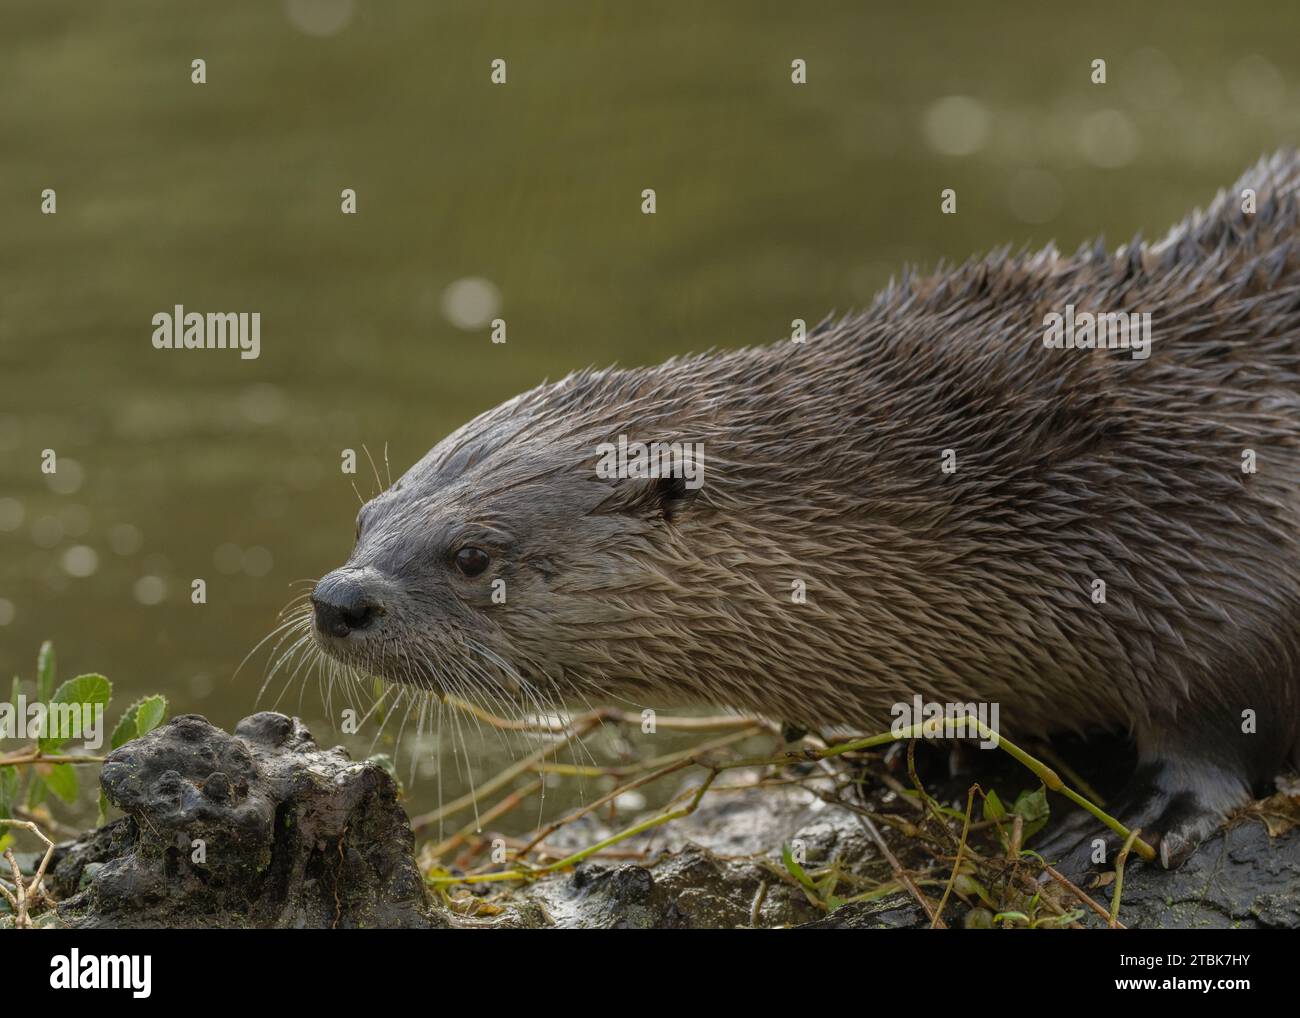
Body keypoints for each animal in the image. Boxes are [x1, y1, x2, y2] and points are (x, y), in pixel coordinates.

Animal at [311, 151, 1300, 874]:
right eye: (367, 515)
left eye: (473, 556)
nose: (338, 599)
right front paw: (938, 754)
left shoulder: (1230, 531)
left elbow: (1226, 720)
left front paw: (1140, 817)